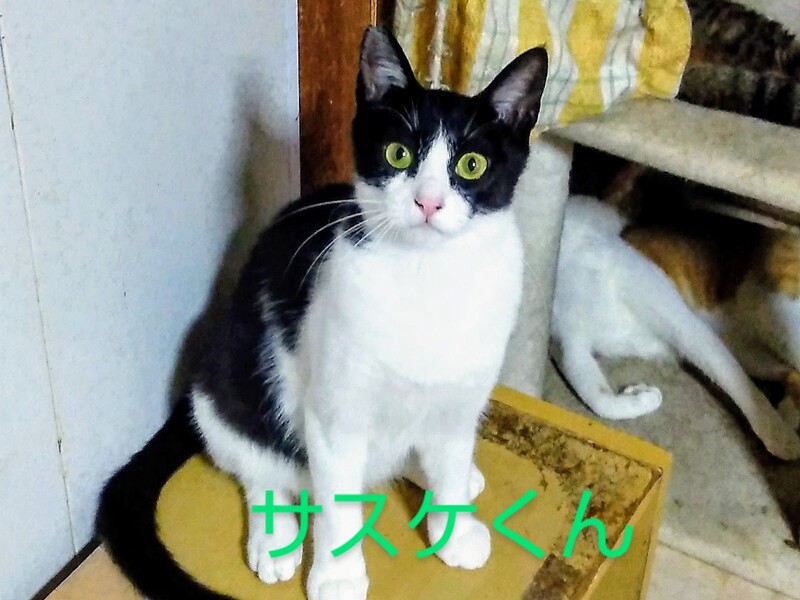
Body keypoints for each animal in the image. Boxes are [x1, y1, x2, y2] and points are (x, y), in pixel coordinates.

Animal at [96, 26, 549, 600]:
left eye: (472, 165)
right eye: (397, 154)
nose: (428, 203)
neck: (425, 277)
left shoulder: (462, 394)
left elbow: (448, 453)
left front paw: (454, 529)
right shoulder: (335, 413)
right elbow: (336, 504)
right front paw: (338, 575)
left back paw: (453, 471)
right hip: (230, 386)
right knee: (258, 465)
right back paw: (273, 538)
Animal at [549, 195, 800, 460]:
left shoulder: (679, 319)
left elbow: (739, 385)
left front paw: (779, 436)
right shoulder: (568, 346)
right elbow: (600, 401)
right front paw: (642, 397)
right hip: (747, 349)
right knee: (787, 371)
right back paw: (788, 410)